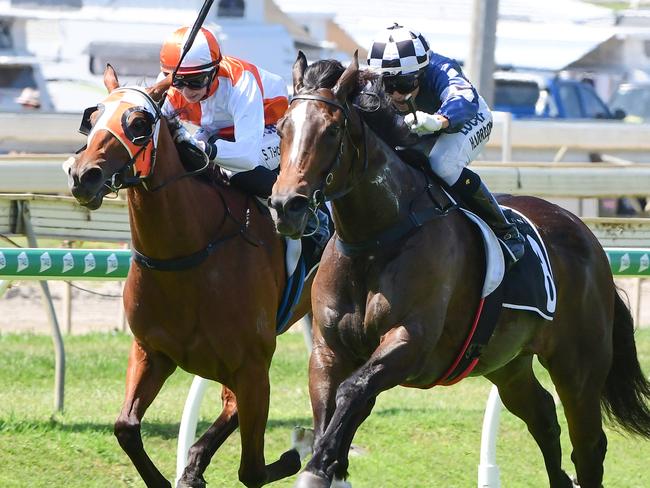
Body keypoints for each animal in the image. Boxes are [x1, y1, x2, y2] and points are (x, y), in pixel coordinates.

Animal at [66, 65, 312, 488]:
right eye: (92, 119)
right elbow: (125, 426)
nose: (84, 176)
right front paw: (179, 473)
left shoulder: (252, 365)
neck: (190, 255)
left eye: (138, 124)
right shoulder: (152, 351)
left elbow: (252, 469)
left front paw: (295, 452)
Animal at [268, 51, 648, 486]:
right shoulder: (329, 350)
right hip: (507, 362)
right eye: (282, 128)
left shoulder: (410, 341)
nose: (286, 206)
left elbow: (354, 391)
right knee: (543, 417)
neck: (376, 240)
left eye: (332, 131)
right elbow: (332, 406)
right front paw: (326, 463)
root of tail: (589, 239)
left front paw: (319, 465)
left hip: (579, 366)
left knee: (589, 447)